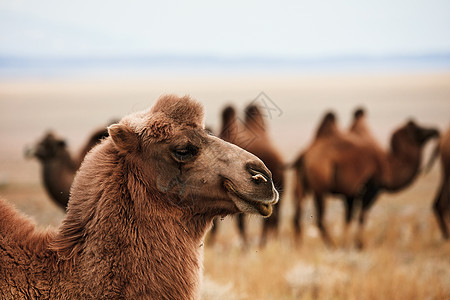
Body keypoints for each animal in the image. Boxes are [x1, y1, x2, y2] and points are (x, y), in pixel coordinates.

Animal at [294, 110, 438, 248]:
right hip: (320, 189)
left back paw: (300, 246)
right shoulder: (372, 187)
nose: (435, 130)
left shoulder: (350, 194)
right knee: (319, 219)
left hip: (302, 186)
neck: (389, 166)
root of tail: (304, 155)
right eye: (417, 128)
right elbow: (362, 216)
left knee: (297, 216)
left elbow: (348, 218)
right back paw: (331, 245)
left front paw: (346, 244)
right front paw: (359, 244)